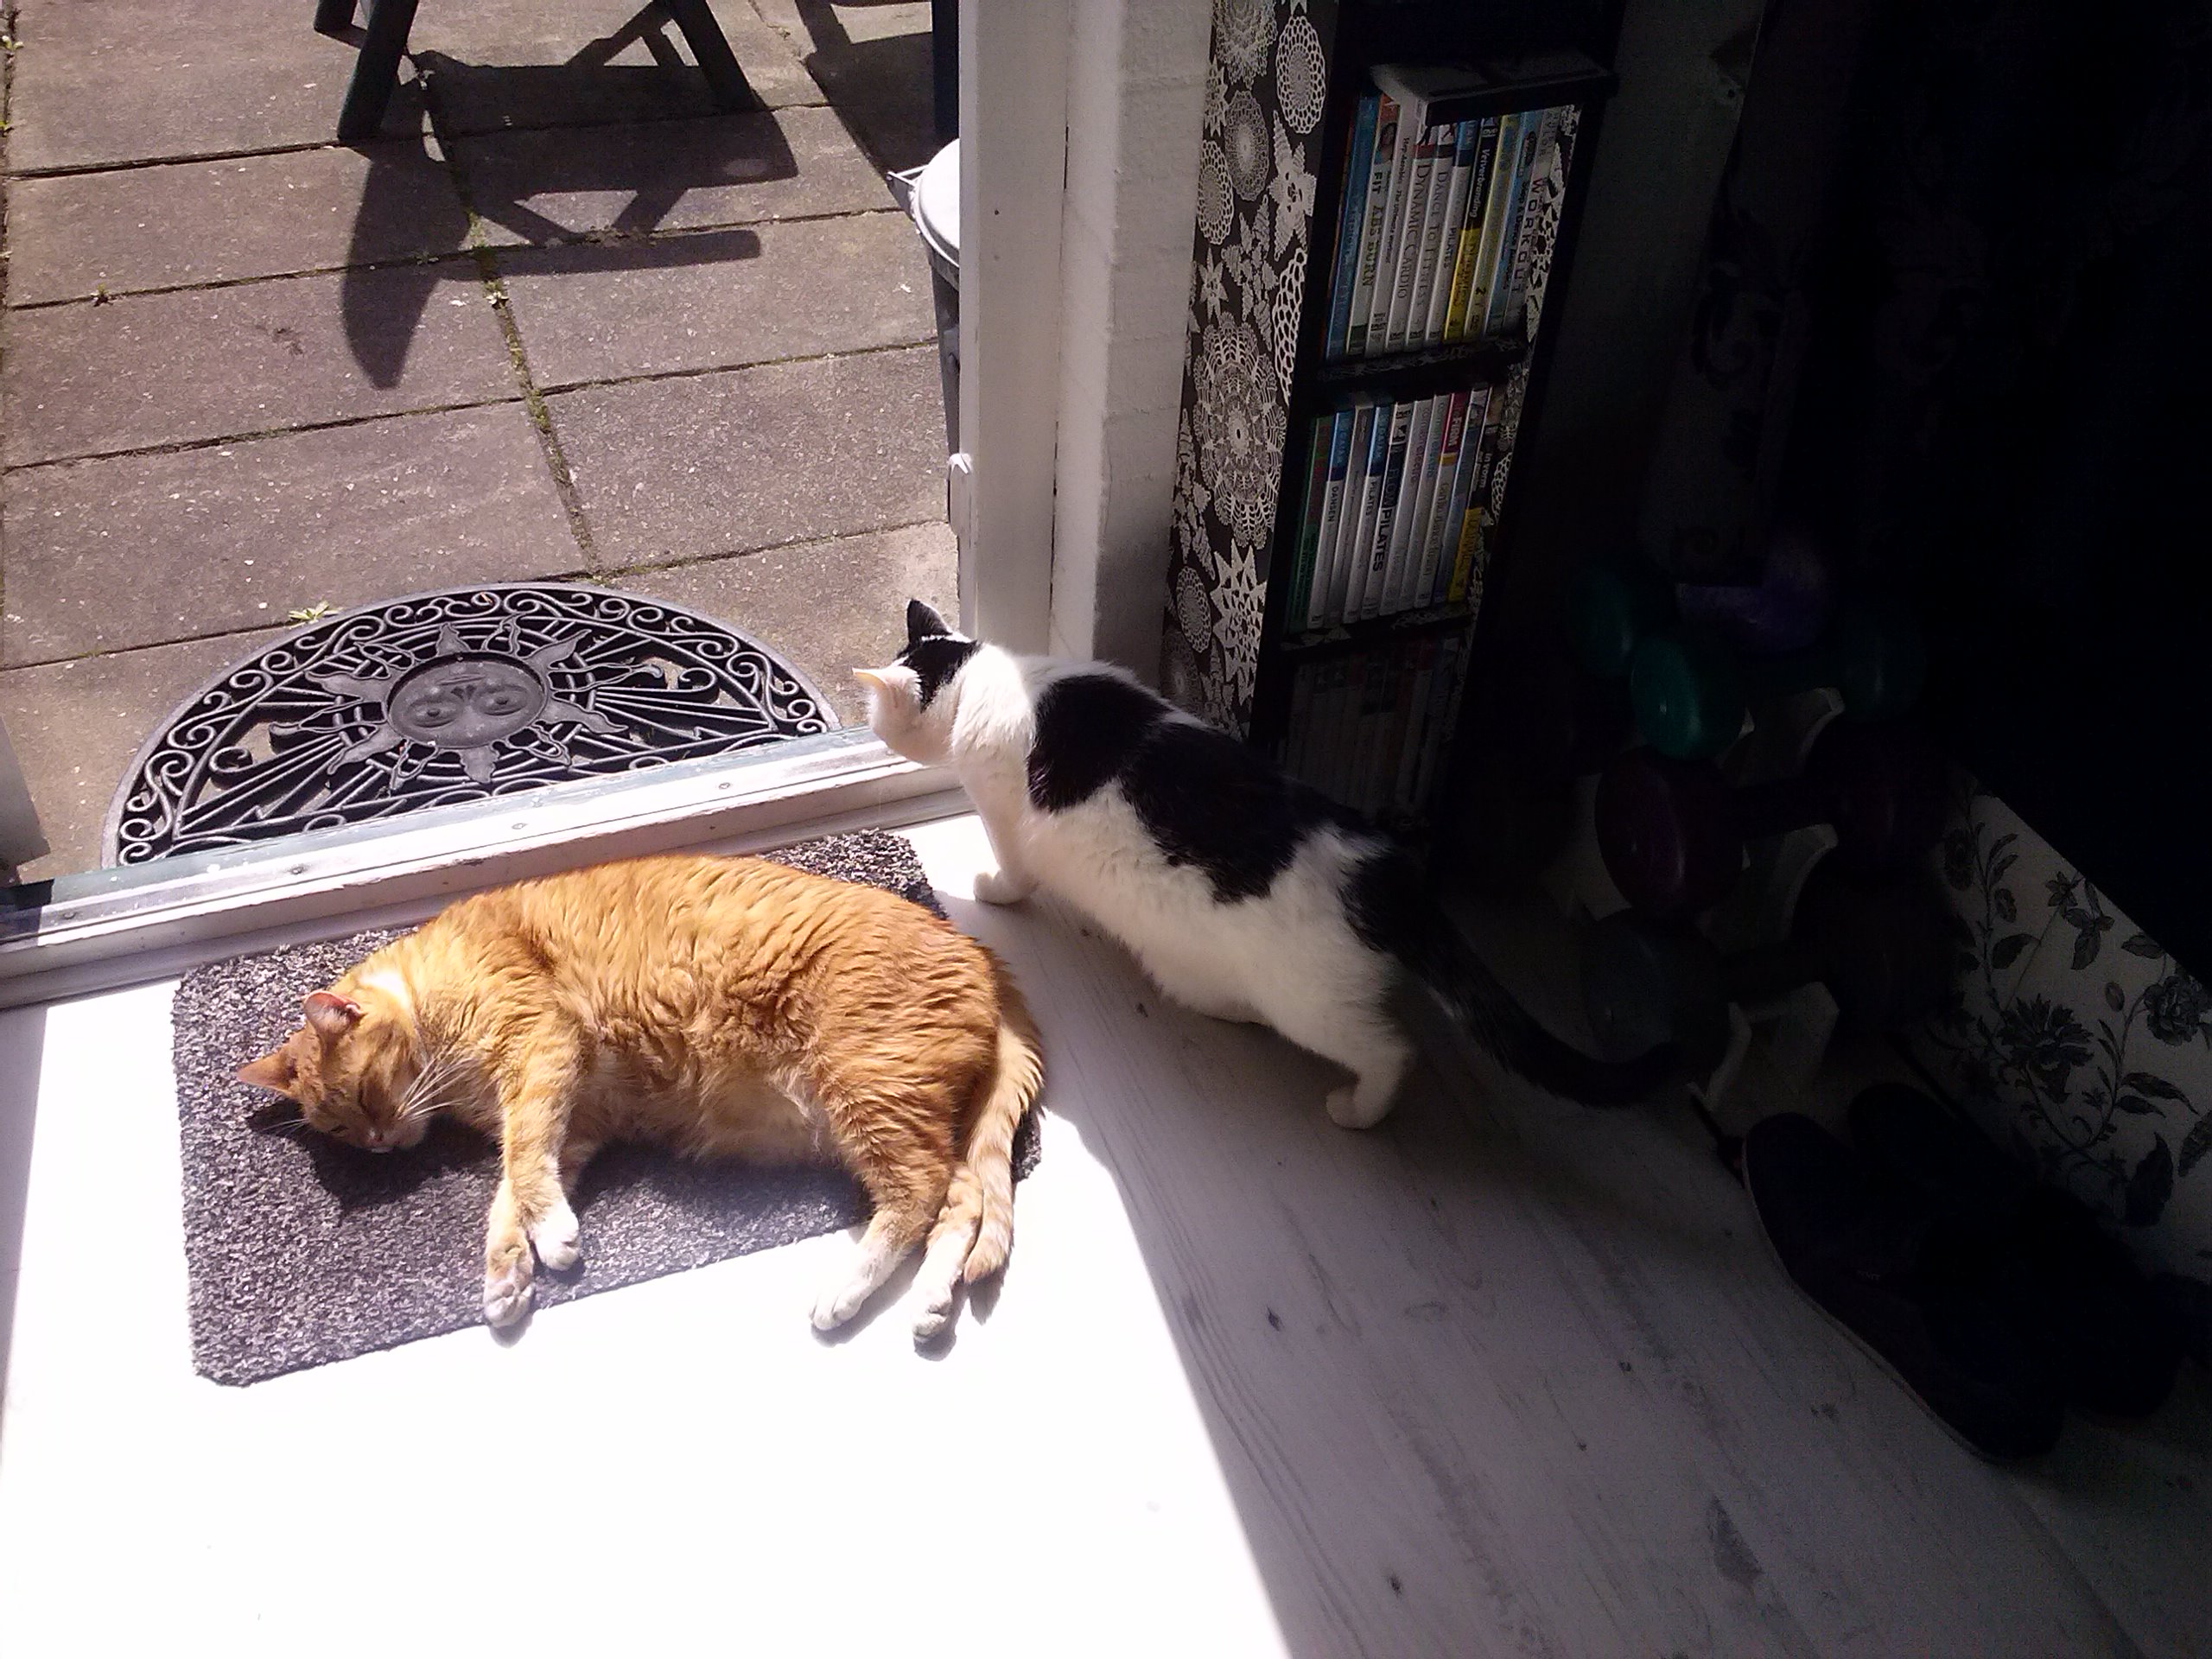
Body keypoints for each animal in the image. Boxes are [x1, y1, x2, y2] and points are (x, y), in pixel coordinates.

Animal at [236, 853, 1044, 1341]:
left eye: (367, 1095)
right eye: (341, 1130)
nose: (378, 1144)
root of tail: (978, 952)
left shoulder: (541, 1053)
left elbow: (522, 1163)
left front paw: (551, 1239)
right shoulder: (576, 1118)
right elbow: (513, 1191)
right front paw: (508, 1272)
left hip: (866, 1086)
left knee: (919, 1193)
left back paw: (842, 1293)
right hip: (908, 1106)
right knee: (961, 1202)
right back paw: (930, 1303)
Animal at [857, 601, 1672, 1130]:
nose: (870, 728)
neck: (982, 683)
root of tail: (1388, 879)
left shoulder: (1004, 817)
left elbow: (1012, 871)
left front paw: (991, 891)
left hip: (1313, 1006)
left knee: (1390, 1051)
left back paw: (1359, 1111)